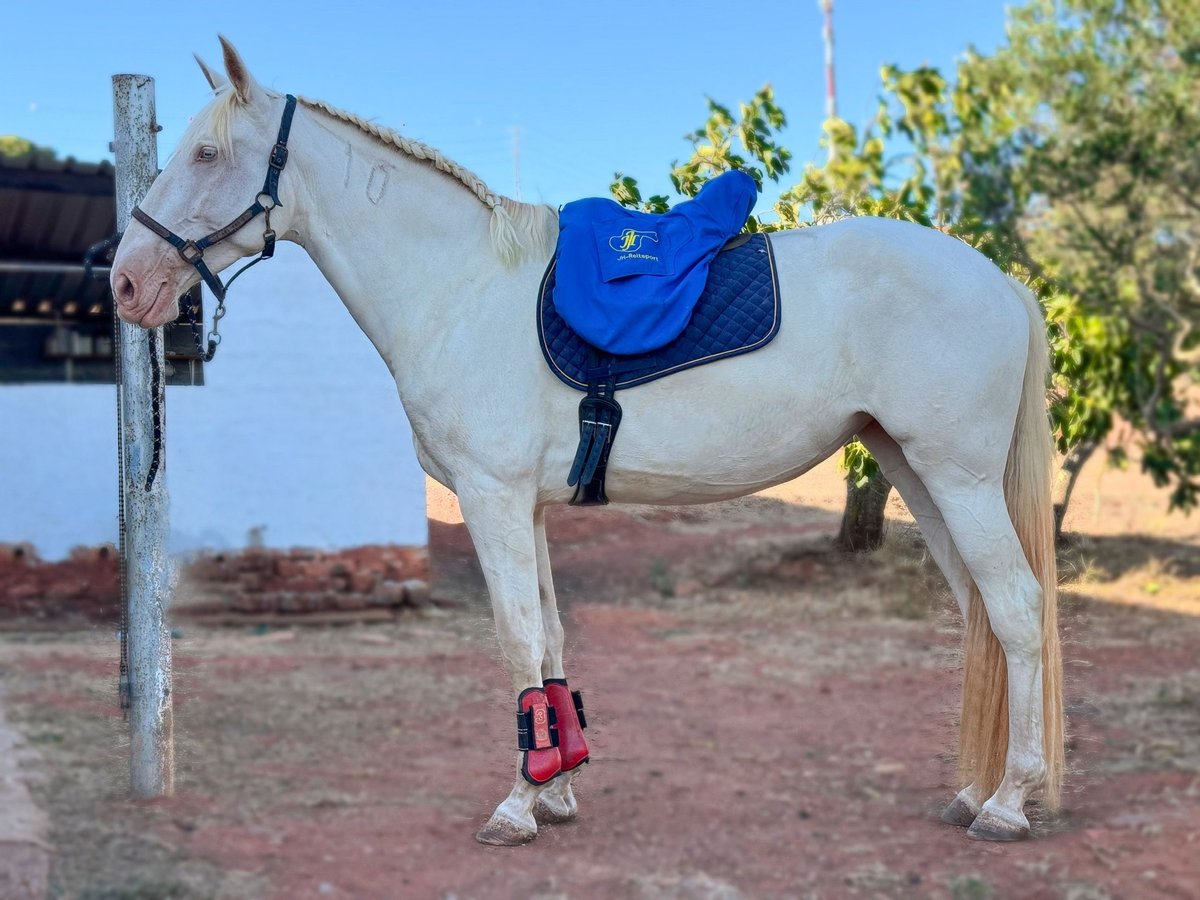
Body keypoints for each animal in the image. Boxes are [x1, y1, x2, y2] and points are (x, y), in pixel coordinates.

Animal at [112, 40, 1065, 844]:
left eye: (206, 156)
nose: (124, 282)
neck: (460, 288)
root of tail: (1000, 281)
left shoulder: (491, 497)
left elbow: (516, 637)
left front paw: (516, 804)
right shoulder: (525, 507)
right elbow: (552, 639)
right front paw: (559, 785)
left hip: (958, 479)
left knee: (1018, 611)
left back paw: (1010, 803)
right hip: (917, 474)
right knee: (982, 615)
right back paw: (974, 790)